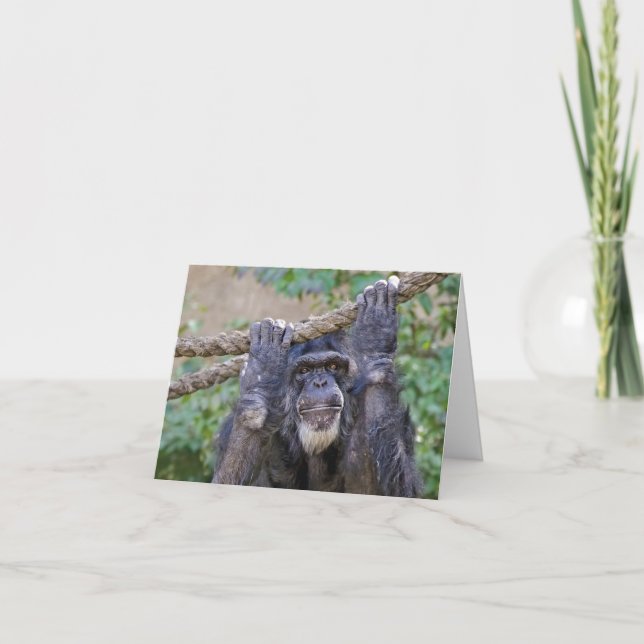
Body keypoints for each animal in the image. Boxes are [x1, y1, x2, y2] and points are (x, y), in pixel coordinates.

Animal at [212, 276, 421, 497]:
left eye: (332, 366)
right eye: (304, 370)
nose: (320, 382)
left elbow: (392, 490)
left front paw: (375, 337)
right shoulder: (229, 431)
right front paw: (262, 375)